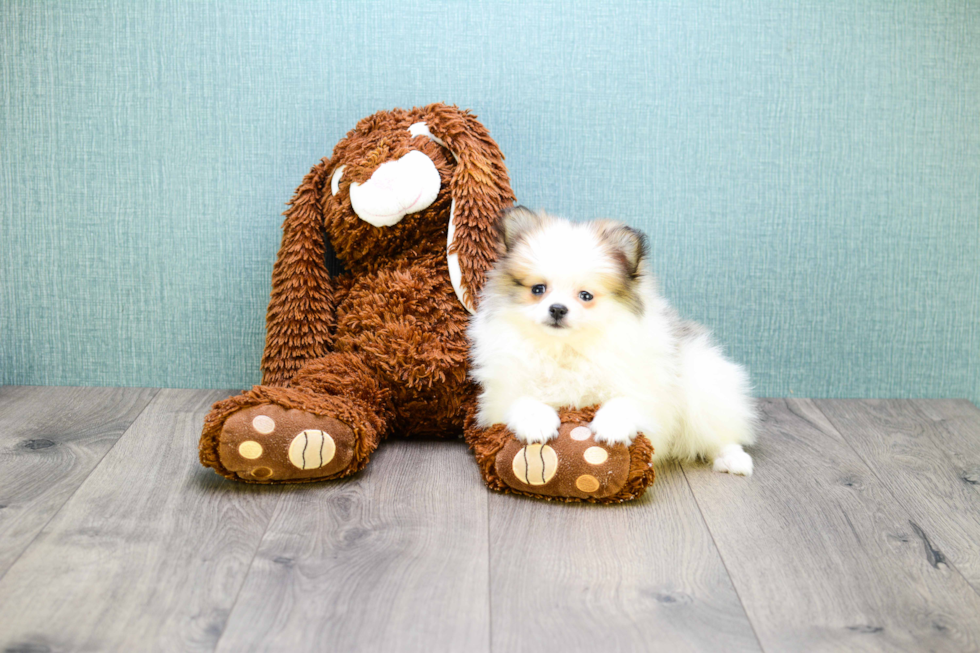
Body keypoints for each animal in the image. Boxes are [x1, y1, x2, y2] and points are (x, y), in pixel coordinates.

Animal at [468, 208, 756, 474]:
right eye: (538, 289)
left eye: (585, 295)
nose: (558, 309)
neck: (566, 349)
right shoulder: (500, 394)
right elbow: (522, 400)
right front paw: (536, 421)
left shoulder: (646, 387)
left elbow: (625, 401)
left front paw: (611, 427)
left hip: (703, 391)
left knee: (720, 434)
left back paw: (733, 459)